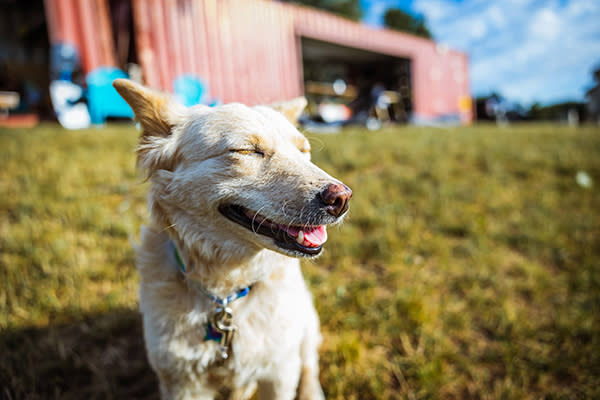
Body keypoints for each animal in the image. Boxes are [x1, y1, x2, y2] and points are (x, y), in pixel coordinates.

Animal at [112, 79, 352, 400]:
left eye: (304, 150)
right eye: (247, 150)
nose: (342, 199)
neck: (226, 292)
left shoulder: (279, 372)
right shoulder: (182, 382)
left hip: (305, 324)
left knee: (309, 363)